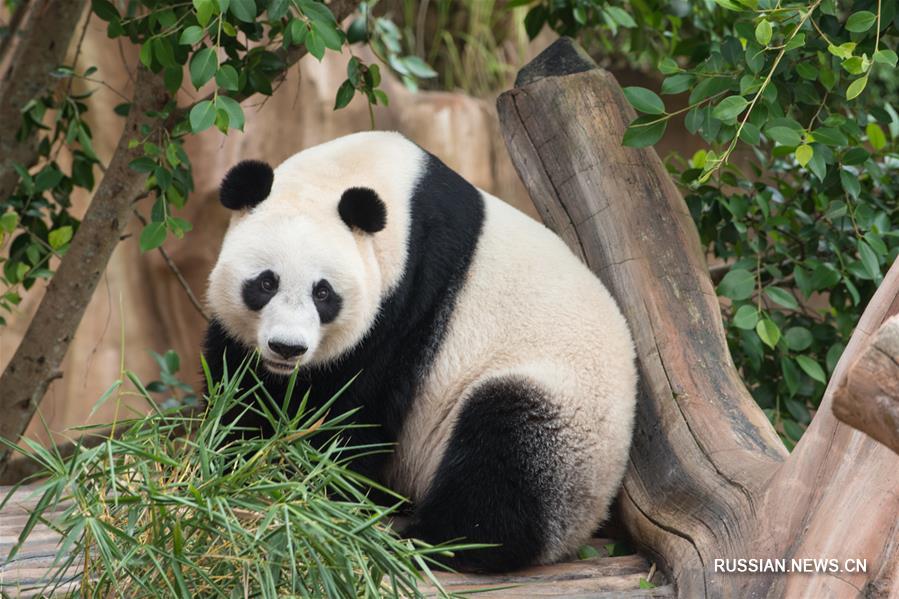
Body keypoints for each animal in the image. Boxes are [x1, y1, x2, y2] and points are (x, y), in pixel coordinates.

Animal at [204, 130, 640, 572]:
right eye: (266, 283)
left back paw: (432, 540)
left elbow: (354, 410)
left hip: (566, 415)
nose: (287, 348)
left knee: (506, 453)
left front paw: (312, 488)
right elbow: (240, 383)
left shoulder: (410, 301)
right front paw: (236, 465)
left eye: (323, 293)